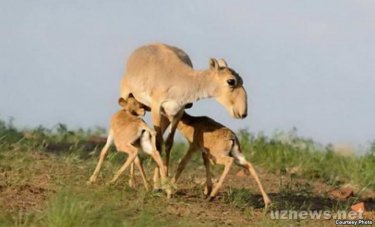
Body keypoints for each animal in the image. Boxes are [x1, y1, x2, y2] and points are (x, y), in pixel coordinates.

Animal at [120, 44, 248, 176]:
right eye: (231, 81)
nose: (243, 112)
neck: (178, 79)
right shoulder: (156, 107)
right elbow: (158, 144)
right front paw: (162, 179)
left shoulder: (177, 112)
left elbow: (168, 143)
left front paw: (164, 178)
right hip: (128, 99)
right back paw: (132, 179)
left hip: (164, 115)